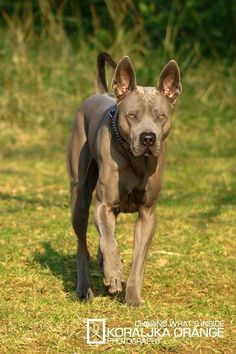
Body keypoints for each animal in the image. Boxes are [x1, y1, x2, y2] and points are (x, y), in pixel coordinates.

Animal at [67, 51, 183, 304]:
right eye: (132, 115)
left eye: (161, 116)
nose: (148, 138)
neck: (136, 161)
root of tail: (101, 93)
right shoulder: (103, 205)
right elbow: (109, 241)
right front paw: (113, 274)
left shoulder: (148, 214)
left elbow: (138, 259)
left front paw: (133, 297)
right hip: (80, 196)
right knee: (83, 243)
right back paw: (85, 288)